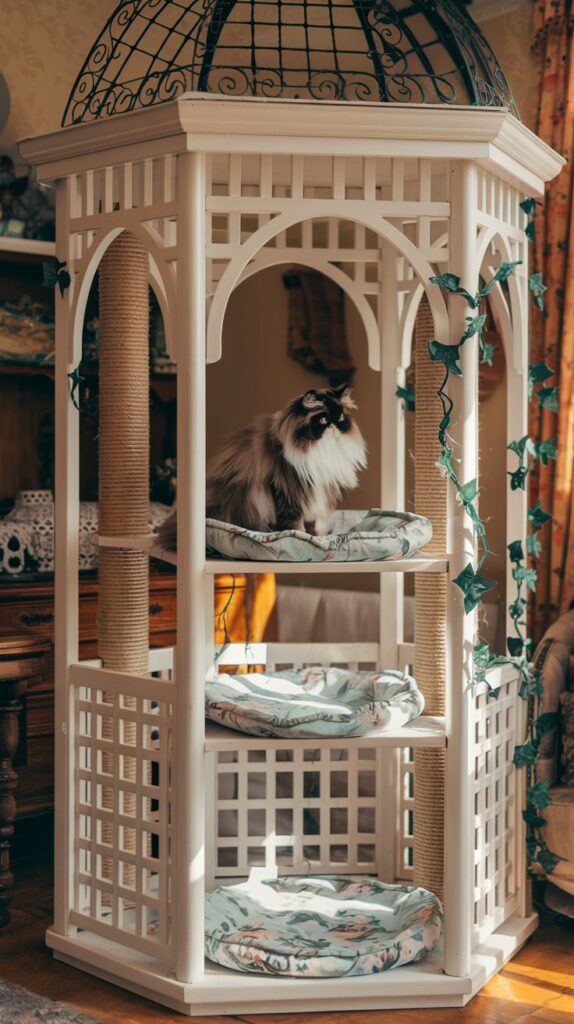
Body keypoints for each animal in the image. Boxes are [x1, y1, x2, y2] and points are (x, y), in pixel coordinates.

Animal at [157, 385, 362, 548]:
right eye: (323, 420)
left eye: (340, 418)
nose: (335, 426)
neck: (319, 450)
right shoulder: (288, 491)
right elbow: (294, 523)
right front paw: (298, 537)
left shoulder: (317, 491)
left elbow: (313, 522)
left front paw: (317, 537)